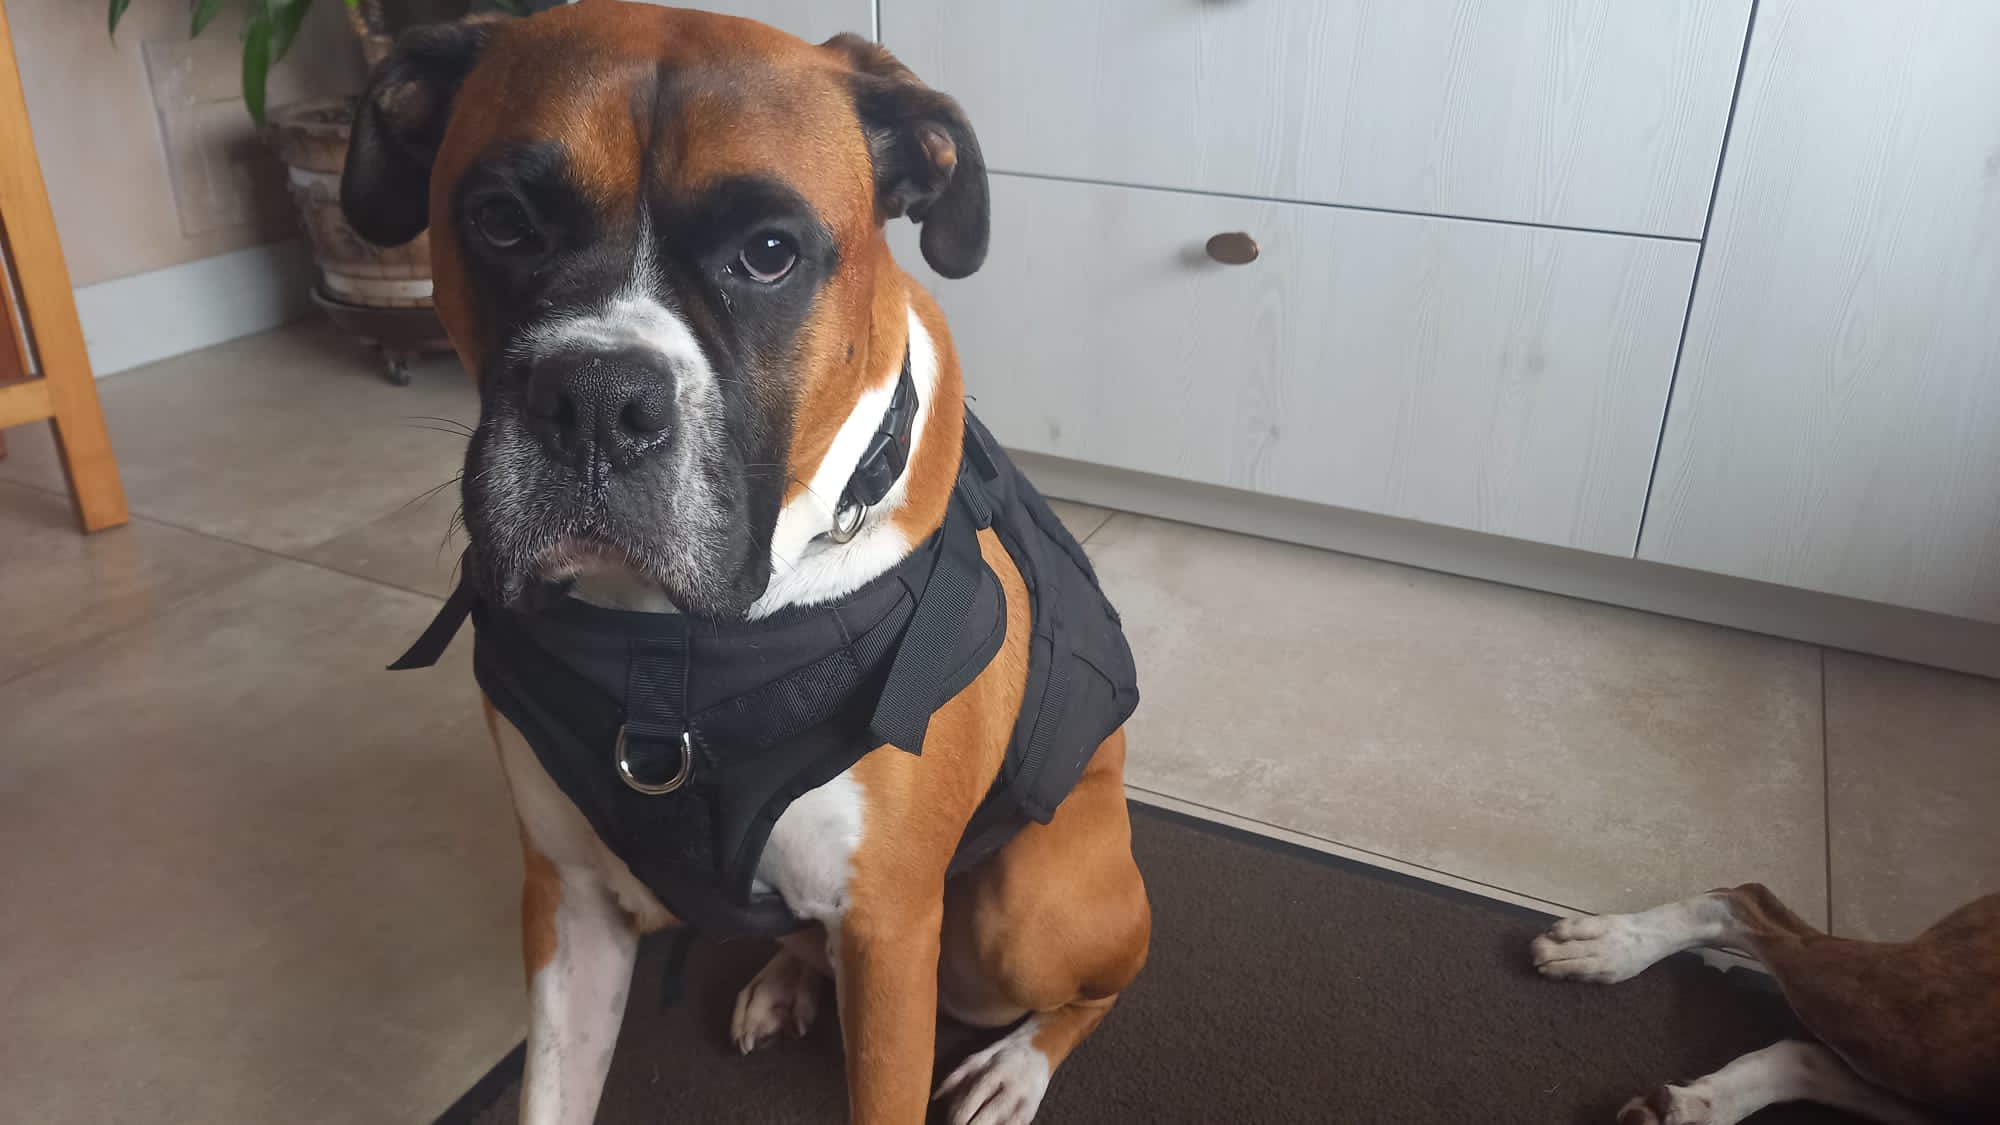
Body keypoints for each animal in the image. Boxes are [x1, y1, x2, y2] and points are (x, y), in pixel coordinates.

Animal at [338, 4, 1151, 1123]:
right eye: (501, 221)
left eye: (768, 254)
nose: (597, 399)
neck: (662, 648)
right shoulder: (569, 904)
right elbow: (552, 1087)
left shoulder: (892, 934)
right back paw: (786, 979)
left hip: (1017, 916)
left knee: (1099, 985)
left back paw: (1015, 1068)